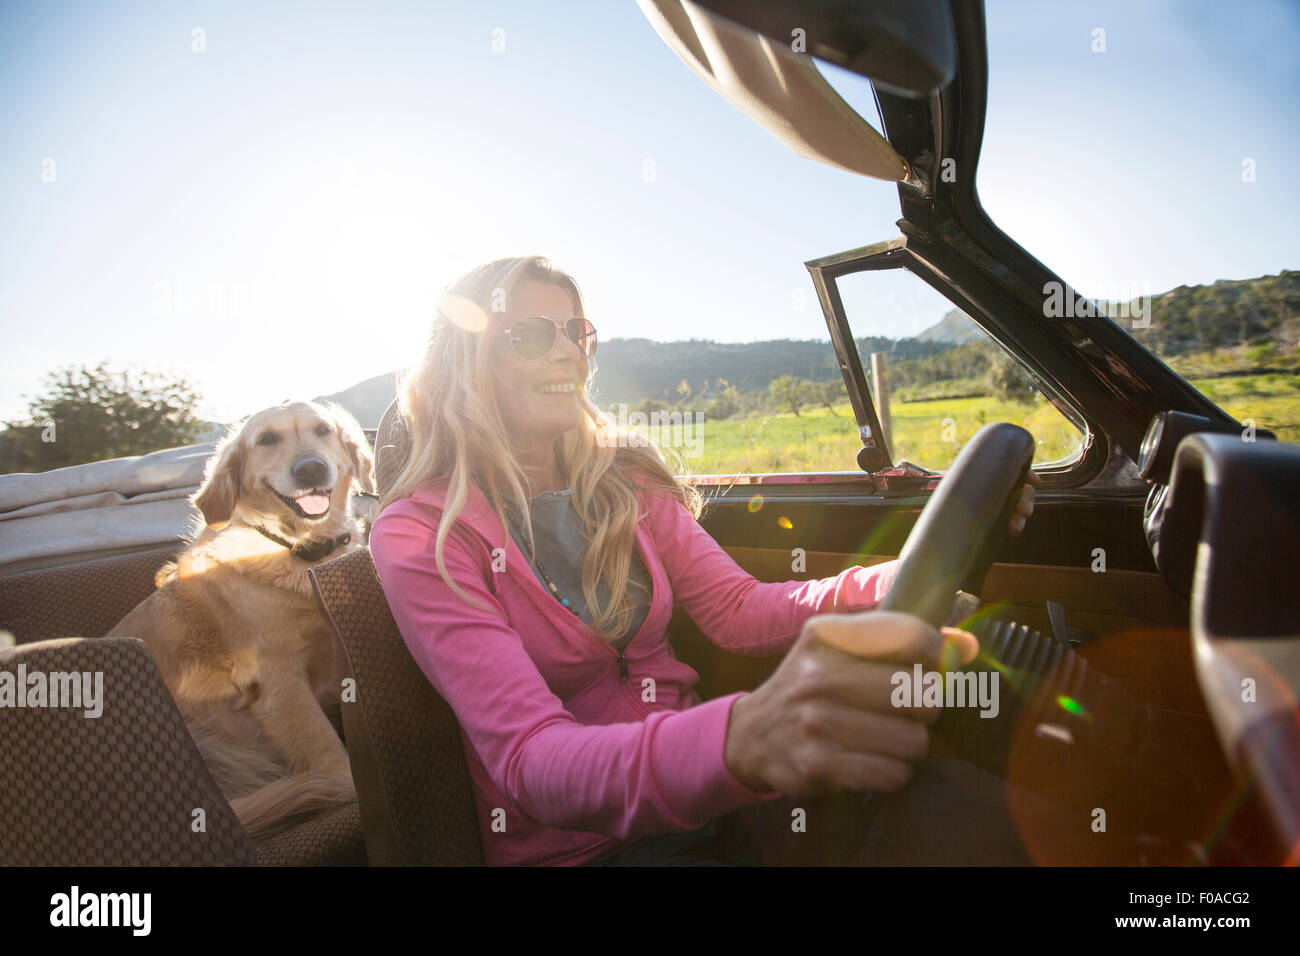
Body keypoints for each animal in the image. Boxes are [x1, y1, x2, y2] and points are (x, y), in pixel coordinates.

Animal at [108, 403, 374, 837]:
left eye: (322, 430)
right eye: (266, 439)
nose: (310, 470)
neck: (299, 549)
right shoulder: (279, 686)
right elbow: (321, 743)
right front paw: (346, 783)